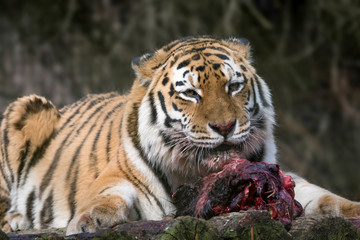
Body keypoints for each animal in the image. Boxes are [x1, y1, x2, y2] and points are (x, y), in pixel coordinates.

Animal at [0, 35, 360, 234]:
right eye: (190, 93)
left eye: (234, 86)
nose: (225, 127)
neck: (197, 171)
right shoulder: (120, 177)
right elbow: (105, 197)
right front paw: (90, 221)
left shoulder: (281, 176)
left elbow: (325, 196)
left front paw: (353, 209)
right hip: (24, 107)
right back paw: (17, 220)